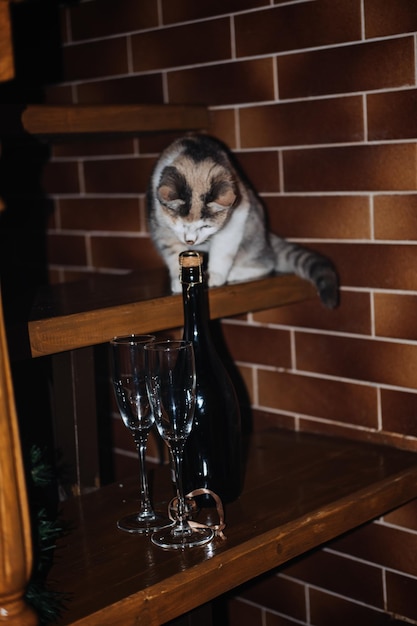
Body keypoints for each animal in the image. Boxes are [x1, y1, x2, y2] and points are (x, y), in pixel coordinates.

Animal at [146, 134, 338, 308]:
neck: (195, 160)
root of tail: (266, 235)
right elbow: (171, 250)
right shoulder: (159, 222)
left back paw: (235, 273)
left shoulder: (238, 214)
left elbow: (223, 249)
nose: (190, 241)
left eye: (206, 226)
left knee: (268, 262)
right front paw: (179, 280)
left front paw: (215, 275)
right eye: (180, 224)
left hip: (252, 224)